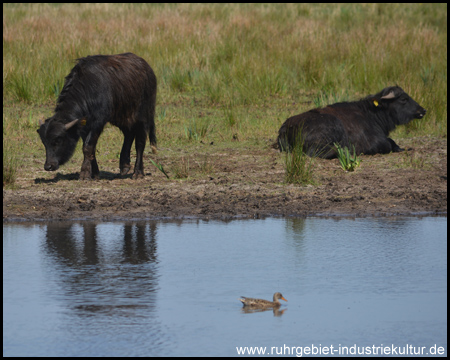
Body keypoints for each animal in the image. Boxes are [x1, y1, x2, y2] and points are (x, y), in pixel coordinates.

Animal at [37, 51, 157, 179]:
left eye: (58, 140)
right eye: (44, 142)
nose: (48, 166)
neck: (87, 89)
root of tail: (148, 69)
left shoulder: (98, 122)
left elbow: (88, 147)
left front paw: (84, 173)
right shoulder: (84, 126)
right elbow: (90, 147)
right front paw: (94, 173)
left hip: (143, 116)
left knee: (140, 142)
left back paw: (138, 172)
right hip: (122, 116)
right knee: (129, 134)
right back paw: (124, 165)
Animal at [276, 86, 428, 158]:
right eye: (403, 99)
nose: (423, 110)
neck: (371, 114)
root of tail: (285, 128)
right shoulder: (376, 142)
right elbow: (388, 143)